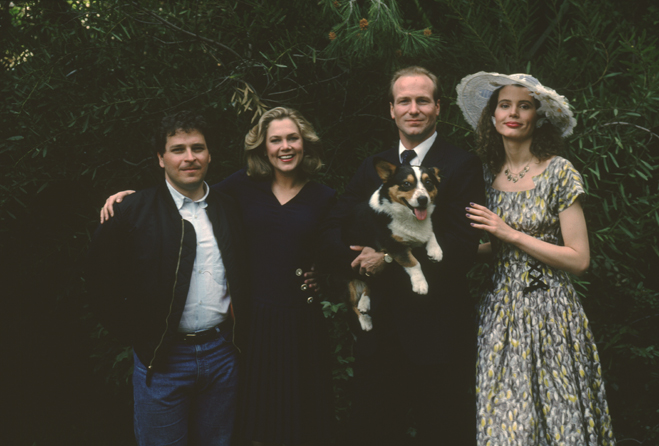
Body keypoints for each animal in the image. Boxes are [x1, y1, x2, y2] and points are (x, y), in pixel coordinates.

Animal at [346, 158, 444, 332]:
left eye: (428, 183)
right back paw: (365, 320)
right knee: (352, 304)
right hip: (350, 281)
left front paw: (435, 251)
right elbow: (414, 263)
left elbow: (430, 232)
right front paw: (420, 284)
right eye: (406, 184)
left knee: (370, 284)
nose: (423, 199)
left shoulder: (423, 230)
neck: (408, 217)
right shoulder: (394, 246)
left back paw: (365, 303)